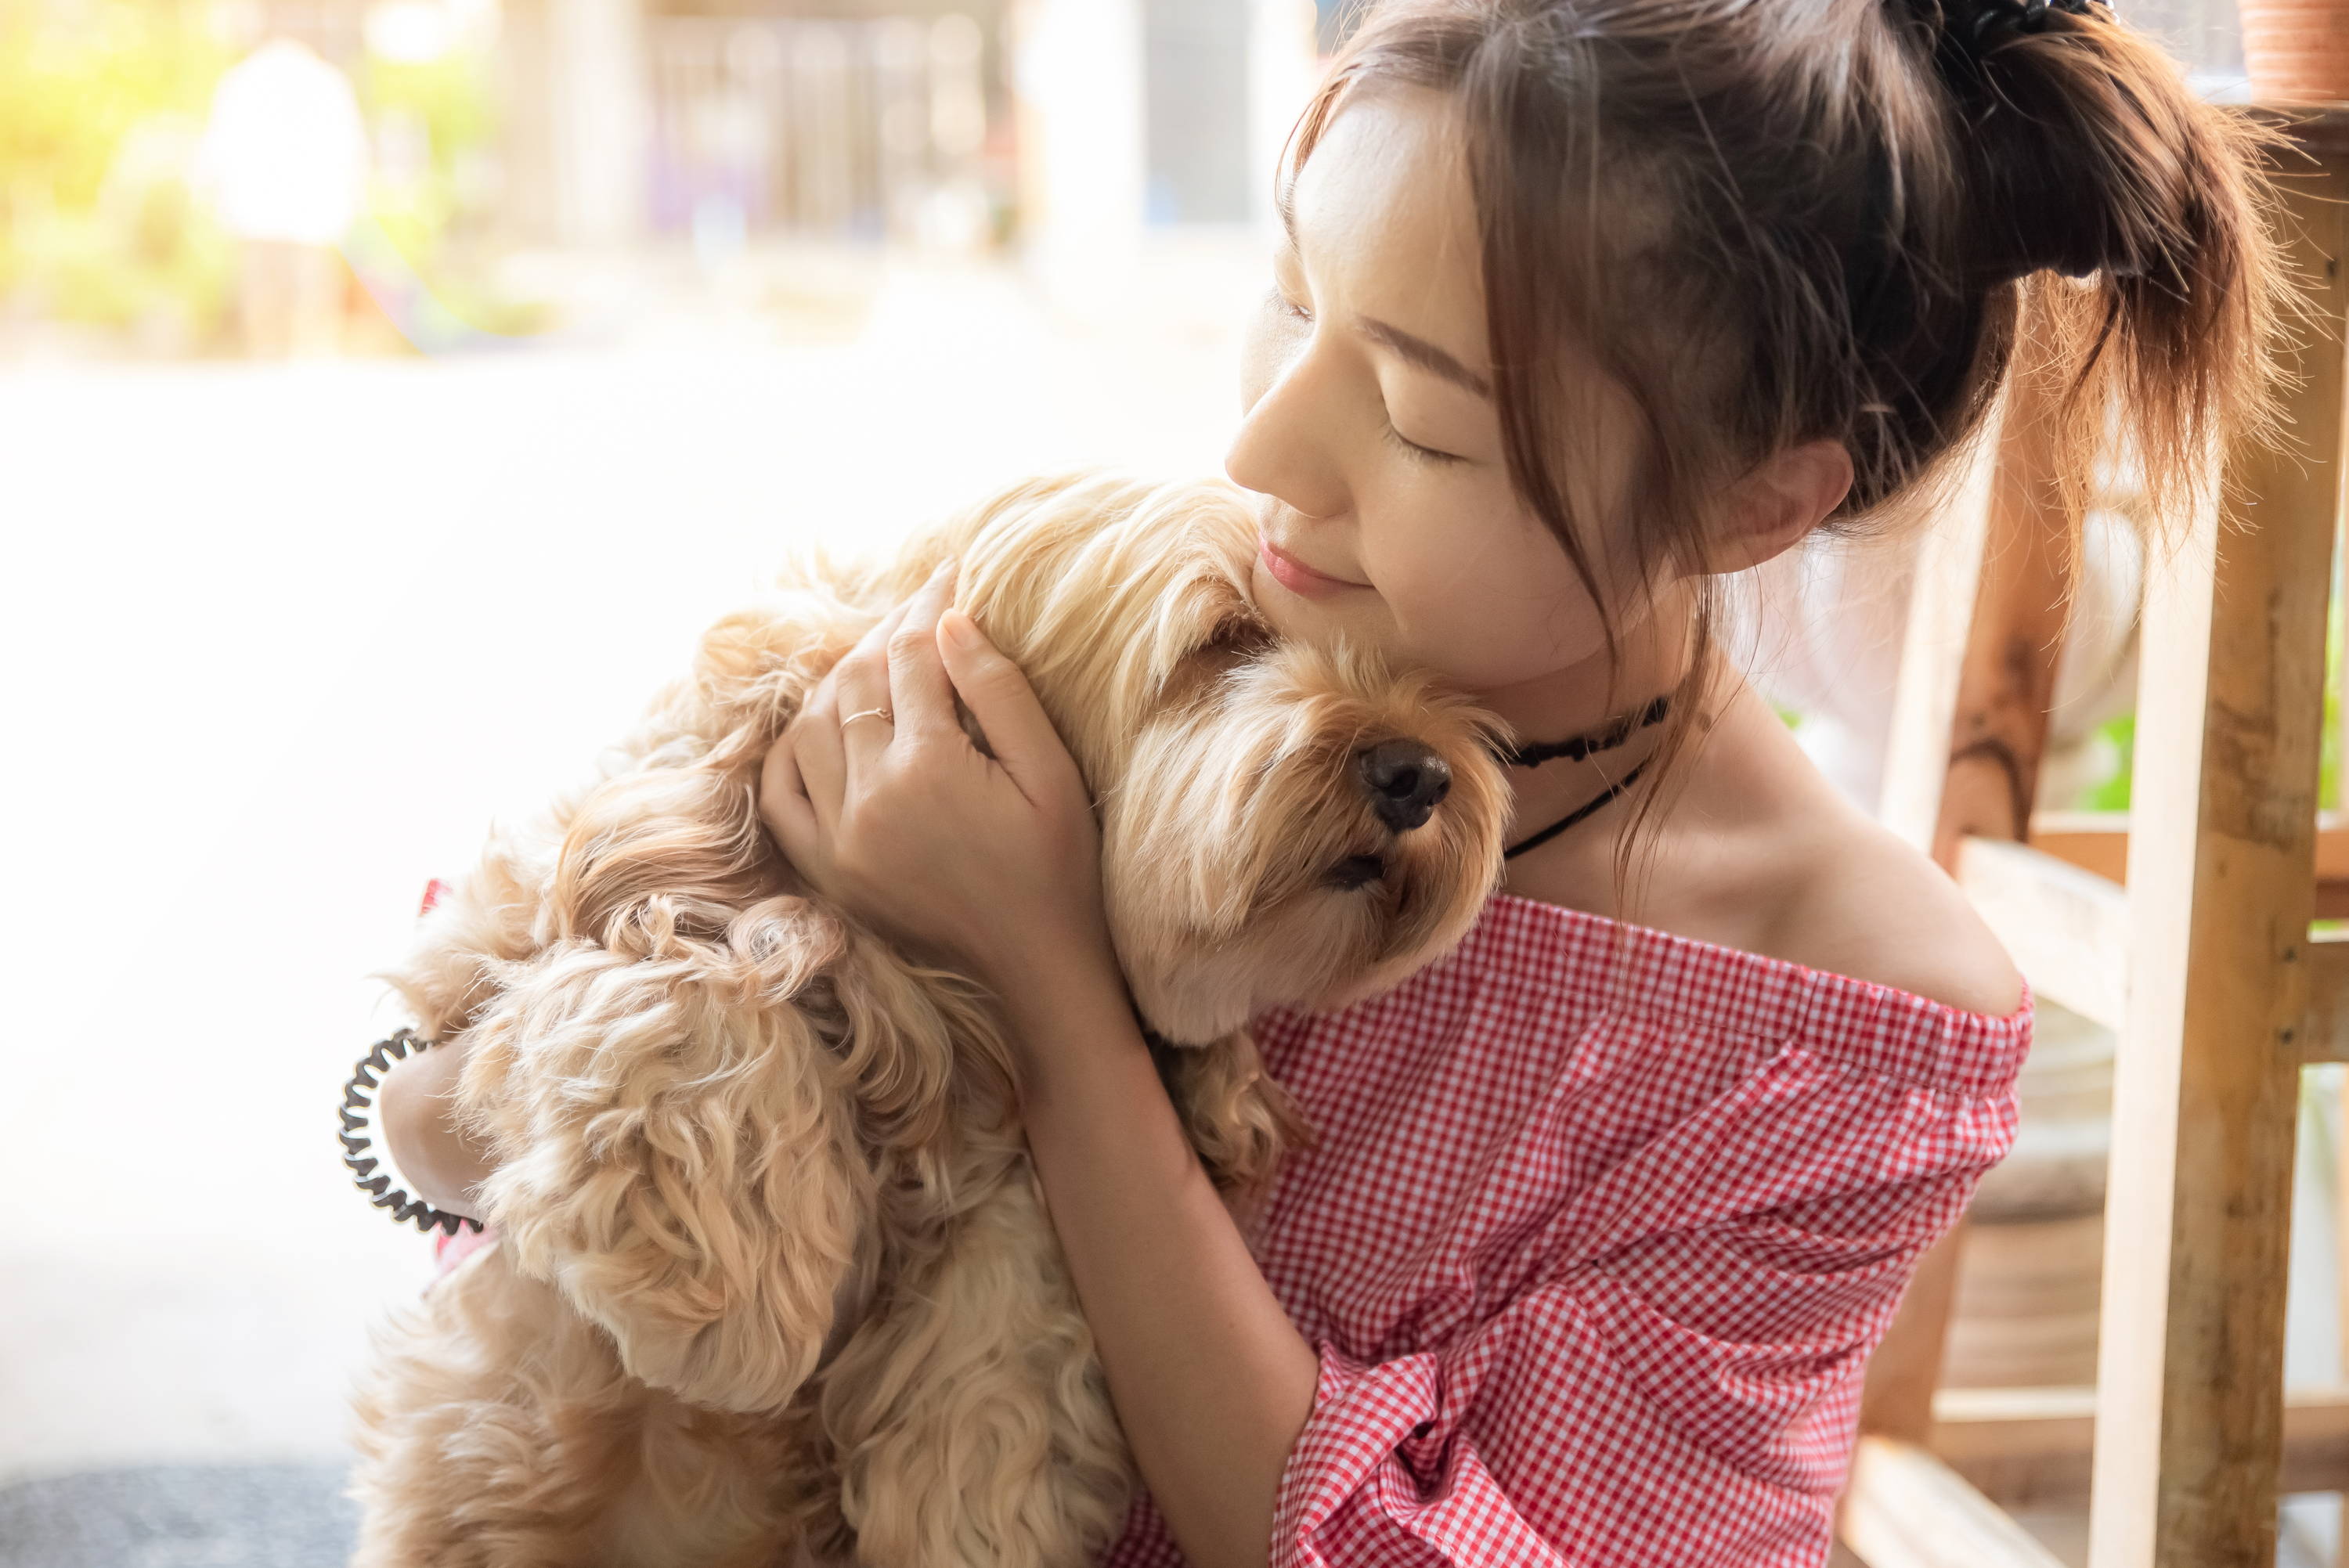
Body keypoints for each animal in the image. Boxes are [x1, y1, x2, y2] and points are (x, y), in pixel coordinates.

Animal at [348, 471, 1503, 1568]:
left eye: (1418, 665)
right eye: (1228, 638)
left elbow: (1008, 1315)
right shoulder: (513, 942)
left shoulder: (1027, 1163)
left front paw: (973, 1504)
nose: (1421, 772)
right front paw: (739, 1296)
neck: (921, 994)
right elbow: (692, 972)